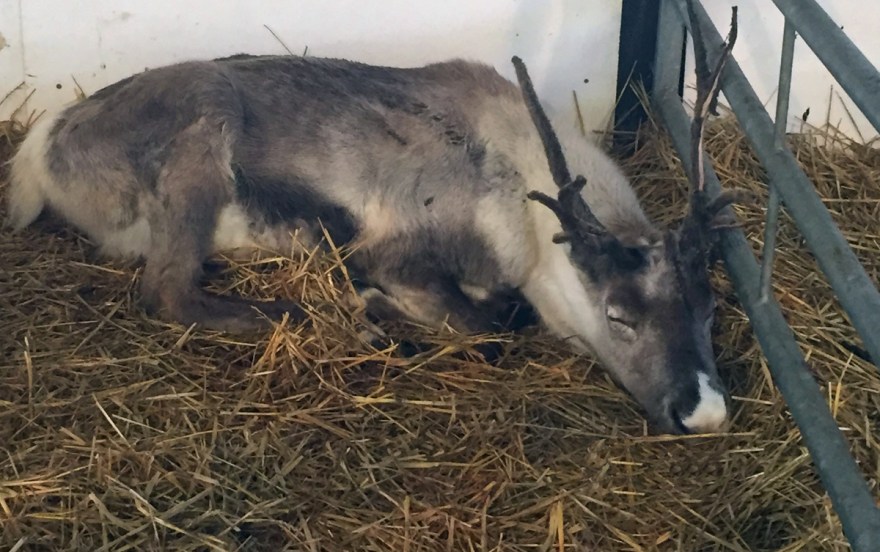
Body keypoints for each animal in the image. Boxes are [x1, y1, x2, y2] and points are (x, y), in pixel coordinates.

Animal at [4, 4, 738, 435]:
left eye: (708, 309)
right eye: (618, 314)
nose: (703, 413)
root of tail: (41, 151)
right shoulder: (396, 252)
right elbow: (489, 329)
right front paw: (376, 309)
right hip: (201, 135)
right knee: (166, 290)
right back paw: (316, 317)